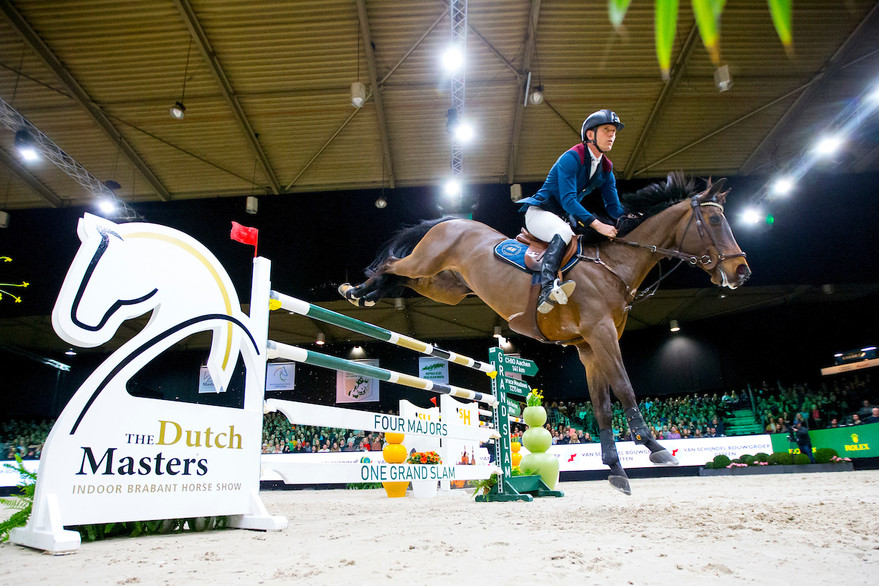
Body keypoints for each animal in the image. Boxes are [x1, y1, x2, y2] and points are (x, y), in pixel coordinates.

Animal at [340, 173, 752, 492]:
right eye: (714, 222)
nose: (741, 272)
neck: (613, 265)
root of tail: (451, 221)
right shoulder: (602, 335)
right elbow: (624, 387)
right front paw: (654, 447)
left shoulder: (588, 346)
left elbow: (602, 406)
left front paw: (616, 470)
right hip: (428, 262)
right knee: (392, 265)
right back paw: (355, 290)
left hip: (444, 286)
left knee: (399, 278)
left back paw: (367, 294)